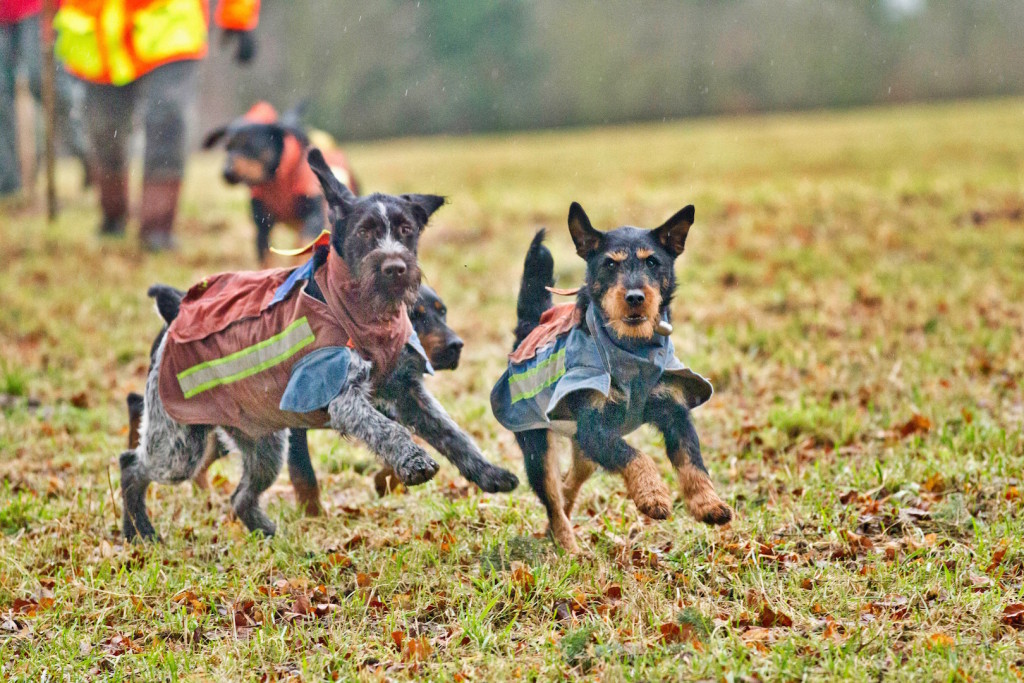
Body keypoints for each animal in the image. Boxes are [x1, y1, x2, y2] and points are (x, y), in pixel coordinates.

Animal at [491, 205, 733, 552]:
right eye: (609, 264)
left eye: (652, 262)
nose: (634, 297)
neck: (633, 349)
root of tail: (530, 326)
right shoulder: (595, 428)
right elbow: (634, 455)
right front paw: (653, 495)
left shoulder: (673, 410)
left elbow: (691, 457)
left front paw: (707, 503)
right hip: (538, 447)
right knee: (552, 498)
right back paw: (568, 547)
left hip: (582, 450)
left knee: (568, 484)